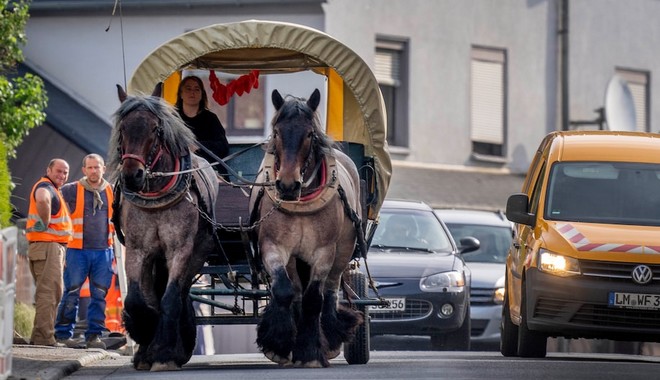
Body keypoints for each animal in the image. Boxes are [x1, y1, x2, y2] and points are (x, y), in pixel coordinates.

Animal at [109, 84, 219, 372]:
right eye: (123, 128)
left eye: (155, 129)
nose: (132, 176)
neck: (157, 195)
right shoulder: (137, 249)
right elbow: (137, 299)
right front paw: (145, 336)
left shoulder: (180, 249)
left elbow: (170, 298)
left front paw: (164, 353)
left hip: (196, 254)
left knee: (179, 294)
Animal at [250, 87, 366, 366]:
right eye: (277, 132)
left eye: (310, 134)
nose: (287, 185)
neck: (300, 201)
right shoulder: (274, 247)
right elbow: (285, 291)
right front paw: (280, 343)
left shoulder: (324, 252)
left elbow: (315, 299)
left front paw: (310, 352)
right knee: (297, 292)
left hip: (343, 251)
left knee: (331, 290)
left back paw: (331, 337)